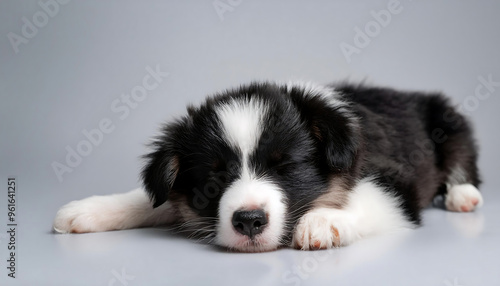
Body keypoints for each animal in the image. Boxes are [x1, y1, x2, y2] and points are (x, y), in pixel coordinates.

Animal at [52, 81, 482, 252]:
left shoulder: (396, 180)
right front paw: (89, 210)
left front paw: (321, 221)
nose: (249, 222)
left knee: (463, 162)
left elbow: (365, 199)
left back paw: (463, 195)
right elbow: (156, 200)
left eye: (285, 167)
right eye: (213, 180)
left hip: (448, 120)